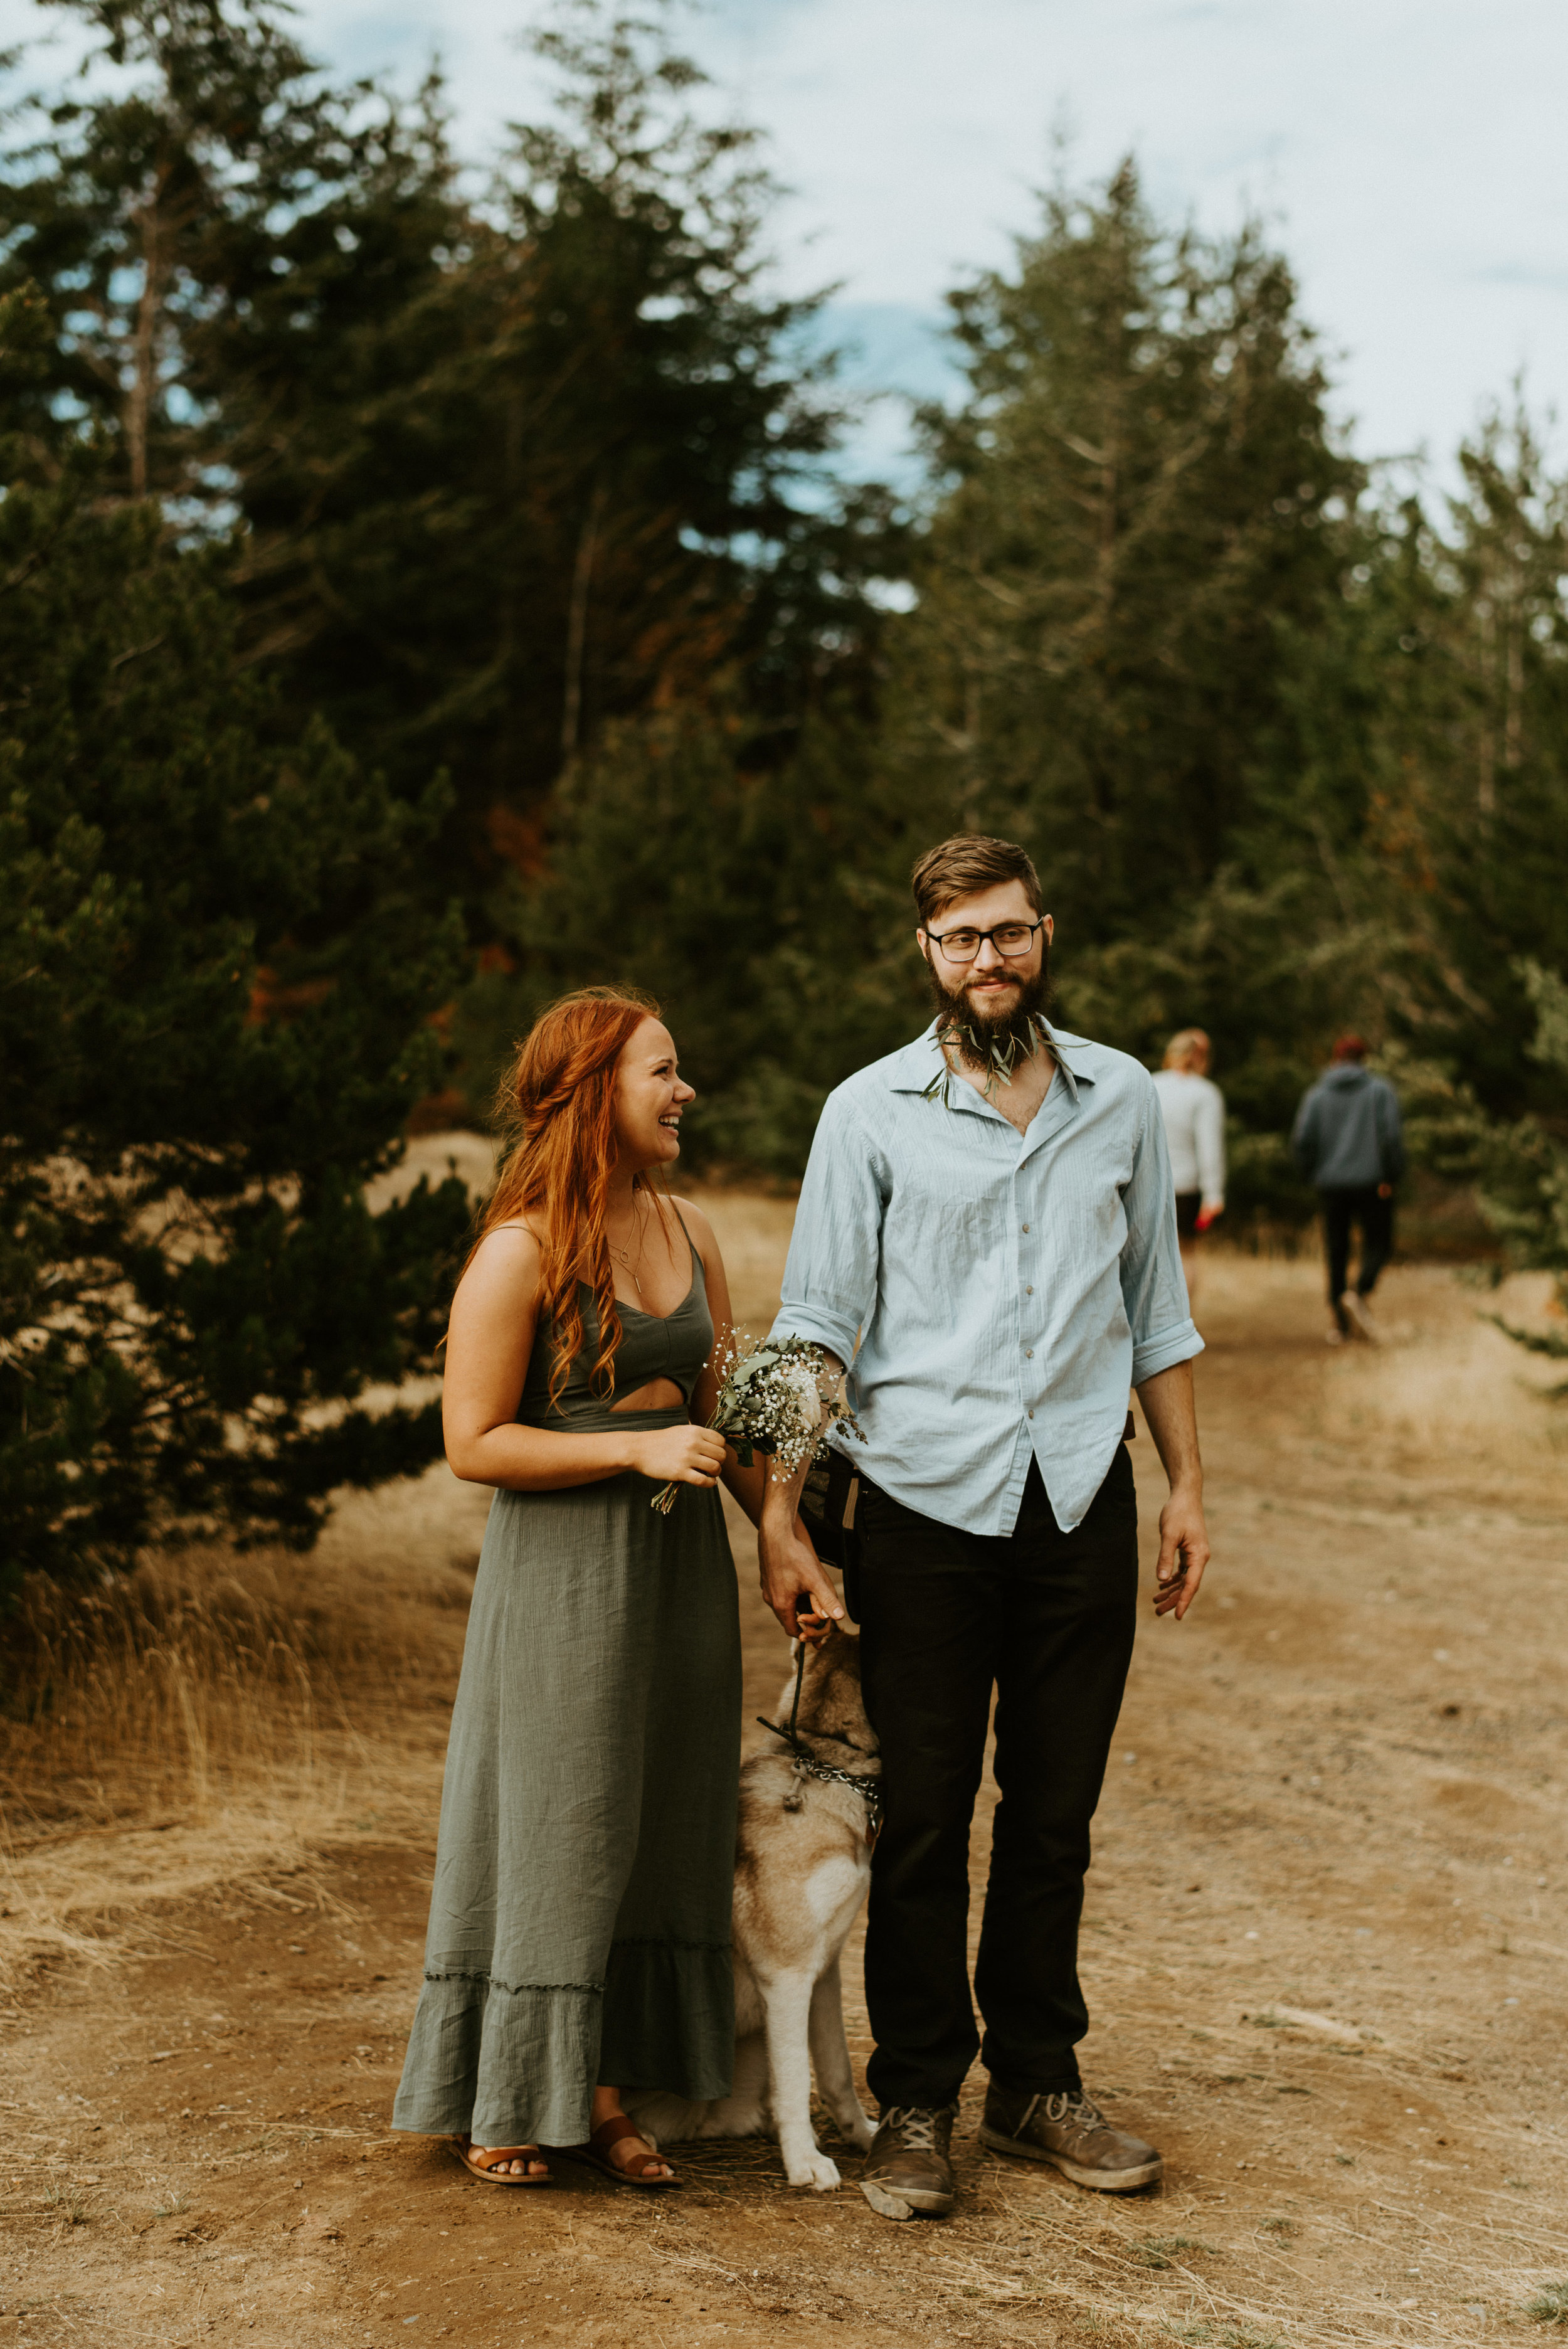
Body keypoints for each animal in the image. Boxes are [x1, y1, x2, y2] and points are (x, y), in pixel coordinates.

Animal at [624, 1616, 882, 2180]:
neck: (822, 1762)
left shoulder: (825, 1971)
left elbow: (836, 2072)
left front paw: (863, 2136)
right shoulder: (786, 1974)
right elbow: (797, 2078)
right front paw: (806, 2162)